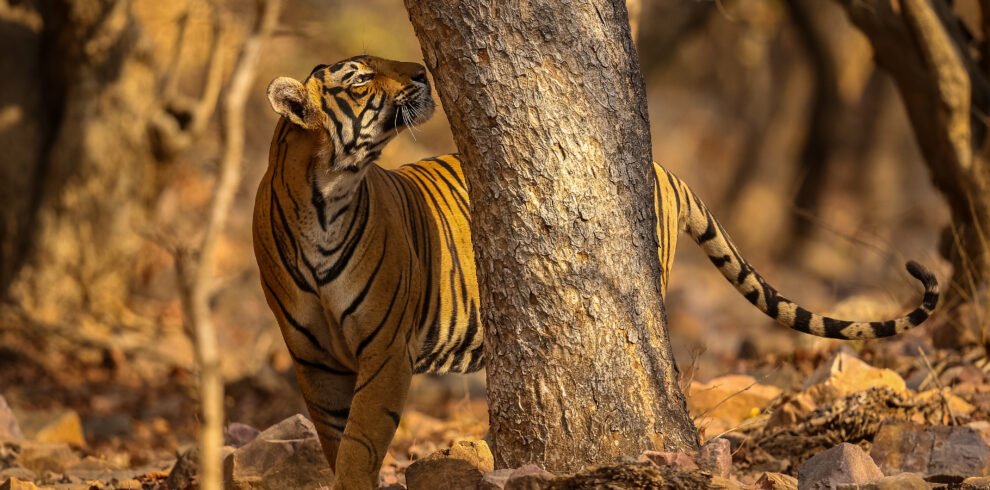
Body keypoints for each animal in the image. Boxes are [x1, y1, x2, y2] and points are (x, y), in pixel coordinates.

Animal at [252, 55, 939, 489]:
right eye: (362, 77)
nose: (423, 73)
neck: (327, 196)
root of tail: (663, 168)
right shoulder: (312, 356)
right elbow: (336, 438)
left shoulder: (386, 348)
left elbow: (361, 441)